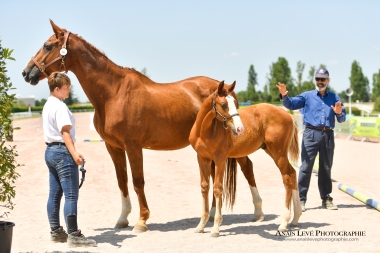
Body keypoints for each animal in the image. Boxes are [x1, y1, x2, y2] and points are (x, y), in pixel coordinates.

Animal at [21, 20, 246, 232]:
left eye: (48, 46)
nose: (26, 72)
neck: (114, 92)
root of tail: (224, 88)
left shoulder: (133, 146)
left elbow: (138, 181)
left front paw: (141, 220)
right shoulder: (113, 147)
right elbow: (122, 181)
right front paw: (122, 218)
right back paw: (212, 215)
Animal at [190, 81, 302, 237]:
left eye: (235, 102)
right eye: (223, 104)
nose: (240, 129)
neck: (205, 131)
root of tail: (287, 114)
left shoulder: (220, 159)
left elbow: (218, 188)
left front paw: (216, 228)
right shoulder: (202, 158)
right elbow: (205, 187)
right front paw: (201, 225)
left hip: (278, 153)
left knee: (287, 177)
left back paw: (284, 223)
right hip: (271, 151)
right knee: (292, 173)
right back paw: (296, 218)